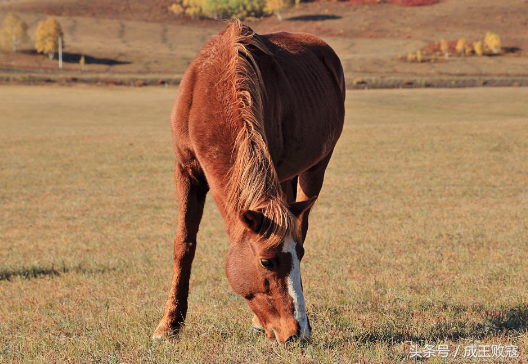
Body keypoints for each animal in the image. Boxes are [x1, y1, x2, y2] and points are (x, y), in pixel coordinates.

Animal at [151, 19, 344, 344]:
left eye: (299, 257)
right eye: (266, 261)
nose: (298, 333)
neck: (210, 92)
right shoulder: (186, 171)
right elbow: (184, 245)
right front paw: (168, 325)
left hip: (316, 166)